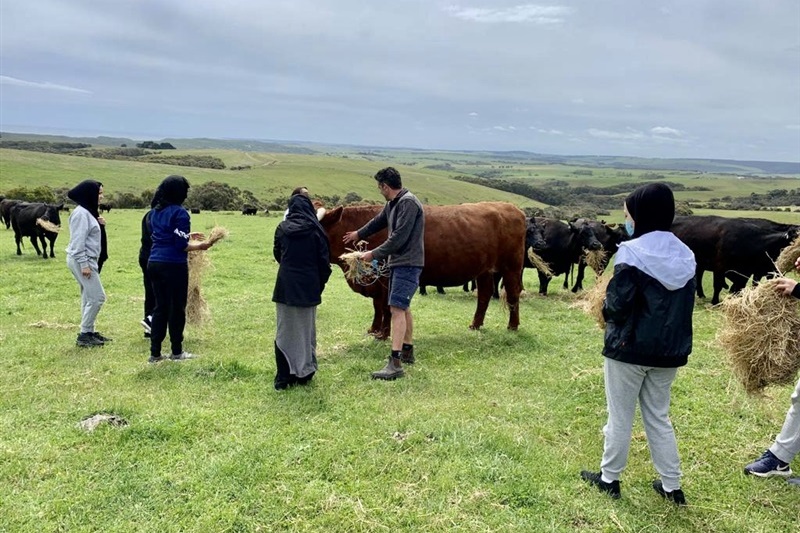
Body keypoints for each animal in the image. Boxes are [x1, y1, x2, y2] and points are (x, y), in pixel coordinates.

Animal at [318, 202, 524, 334]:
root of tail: (512, 207)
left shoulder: (386, 280)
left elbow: (385, 306)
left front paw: (383, 333)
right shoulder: (375, 283)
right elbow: (377, 306)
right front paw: (374, 329)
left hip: (512, 267)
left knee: (513, 294)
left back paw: (512, 326)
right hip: (484, 270)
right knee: (484, 295)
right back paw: (475, 325)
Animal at [668, 213, 800, 304]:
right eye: (795, 238)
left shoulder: (749, 271)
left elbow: (741, 286)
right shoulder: (720, 267)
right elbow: (718, 285)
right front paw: (715, 302)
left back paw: (701, 295)